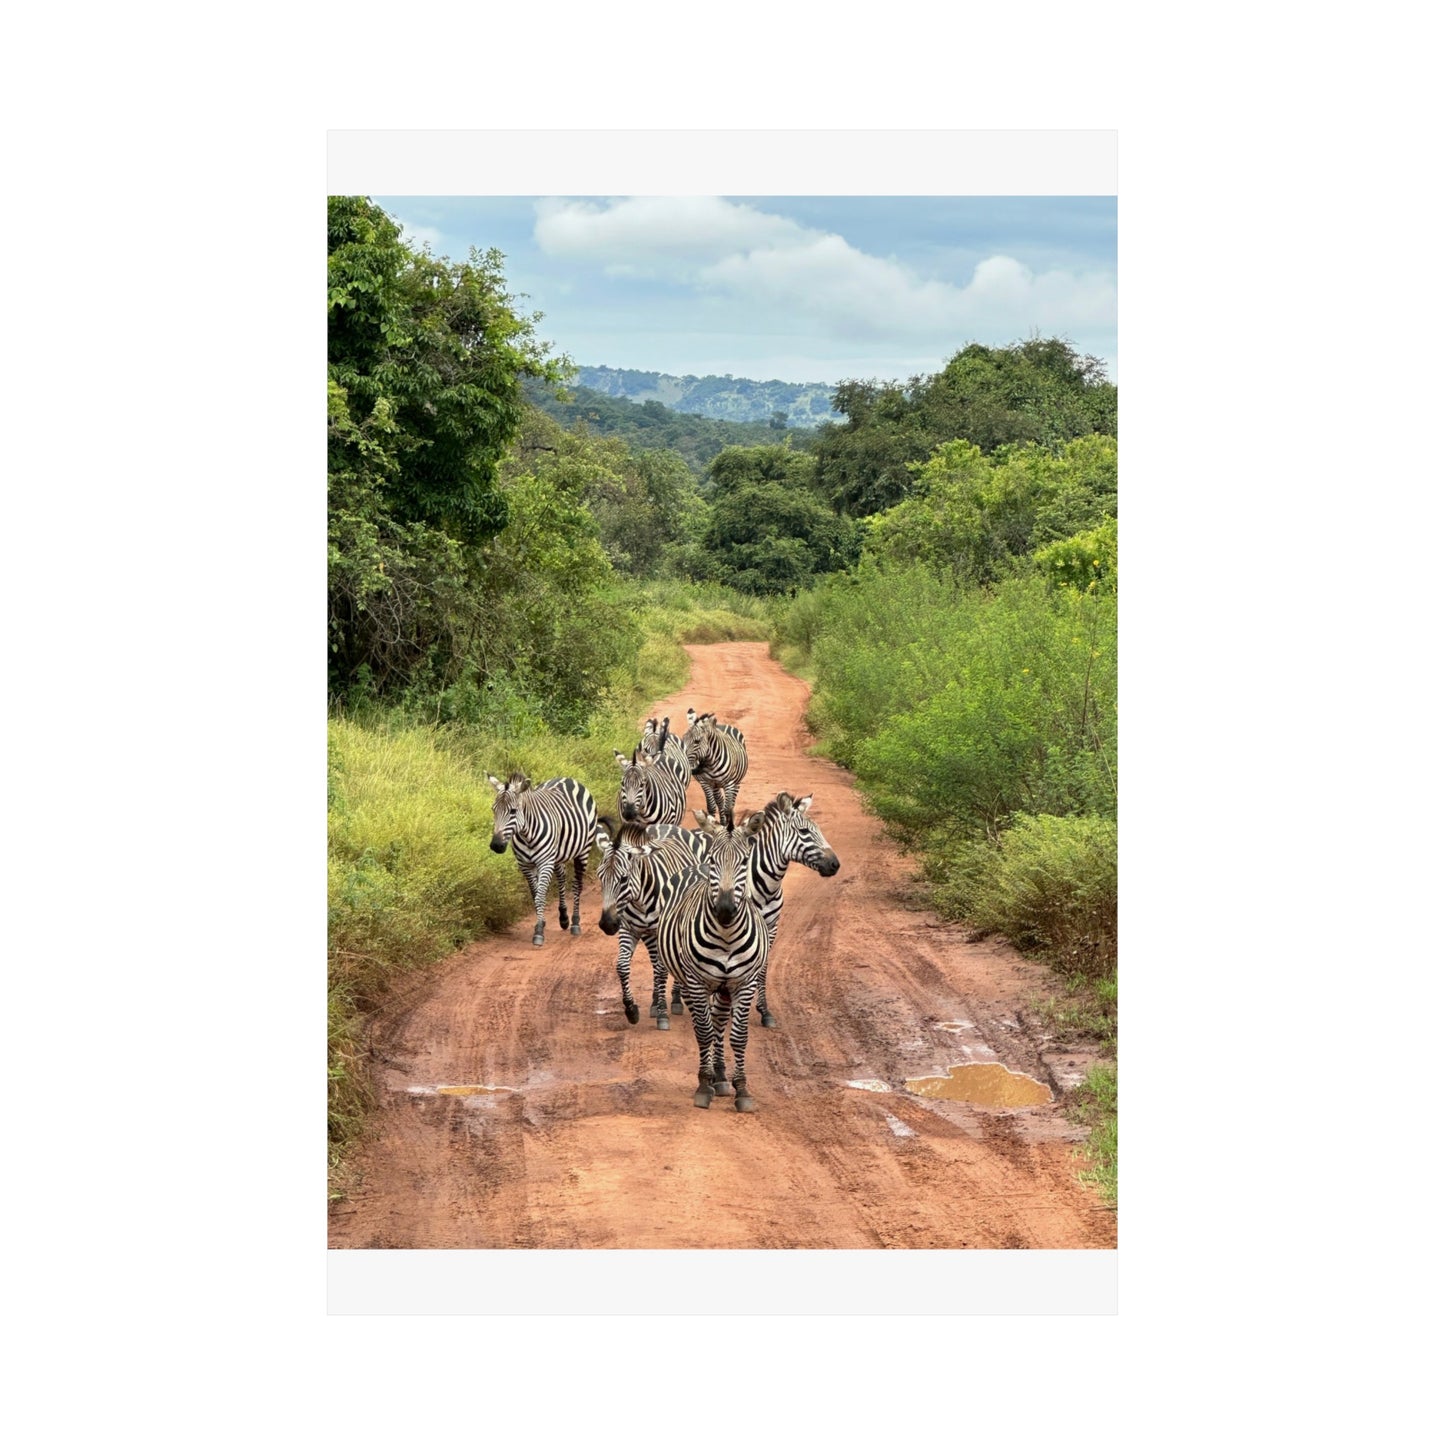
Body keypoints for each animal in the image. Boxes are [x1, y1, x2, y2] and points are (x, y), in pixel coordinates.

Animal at [487, 772, 598, 948]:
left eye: (513, 811)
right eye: (493, 810)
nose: (496, 845)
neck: (527, 834)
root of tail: (567, 778)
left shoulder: (545, 862)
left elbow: (540, 896)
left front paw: (538, 931)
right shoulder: (525, 865)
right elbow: (535, 894)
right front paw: (542, 922)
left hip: (583, 850)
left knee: (577, 885)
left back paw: (575, 923)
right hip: (557, 855)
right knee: (561, 878)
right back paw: (564, 918)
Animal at [594, 817, 707, 1027]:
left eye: (623, 879)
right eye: (600, 876)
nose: (607, 924)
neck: (639, 899)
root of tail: (668, 826)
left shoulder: (660, 930)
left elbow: (662, 970)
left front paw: (663, 1014)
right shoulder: (627, 928)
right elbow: (622, 966)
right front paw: (631, 1009)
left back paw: (675, 1000)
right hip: (648, 933)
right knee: (654, 962)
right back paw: (655, 1001)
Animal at [654, 811, 771, 1111]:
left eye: (744, 861)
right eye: (714, 860)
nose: (725, 910)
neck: (727, 936)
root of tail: (695, 867)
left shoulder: (745, 983)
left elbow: (738, 1036)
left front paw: (742, 1089)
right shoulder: (697, 982)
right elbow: (704, 1033)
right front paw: (703, 1086)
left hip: (724, 988)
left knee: (718, 1021)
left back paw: (721, 1076)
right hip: (689, 981)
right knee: (702, 1025)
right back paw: (710, 1077)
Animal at [739, 791, 841, 1028]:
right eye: (804, 831)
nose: (835, 865)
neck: (767, 885)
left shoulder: (772, 926)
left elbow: (763, 967)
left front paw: (765, 1011)